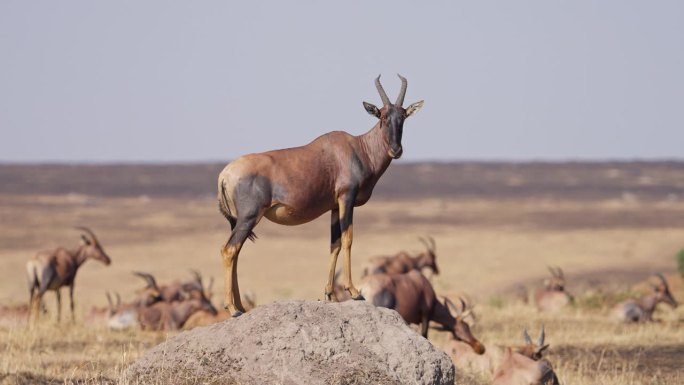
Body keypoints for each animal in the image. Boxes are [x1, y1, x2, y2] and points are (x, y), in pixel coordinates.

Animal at [218, 74, 422, 316]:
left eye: (403, 116)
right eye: (382, 116)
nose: (396, 150)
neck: (357, 148)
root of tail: (225, 174)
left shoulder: (334, 206)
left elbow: (334, 244)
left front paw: (330, 295)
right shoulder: (346, 198)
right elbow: (348, 239)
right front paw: (354, 291)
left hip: (241, 220)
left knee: (236, 252)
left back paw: (240, 306)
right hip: (249, 217)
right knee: (229, 250)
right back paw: (233, 308)